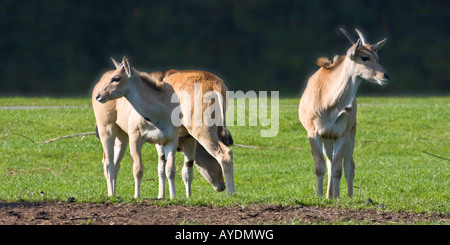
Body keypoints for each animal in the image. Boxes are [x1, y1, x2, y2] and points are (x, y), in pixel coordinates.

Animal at [298, 27, 390, 198]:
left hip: (350, 136)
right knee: (329, 162)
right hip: (328, 139)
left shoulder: (343, 134)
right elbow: (320, 166)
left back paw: (349, 196)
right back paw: (329, 195)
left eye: (378, 57)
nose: (386, 75)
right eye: (365, 57)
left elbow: (338, 169)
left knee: (348, 165)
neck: (329, 102)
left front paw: (338, 198)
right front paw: (320, 196)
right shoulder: (314, 132)